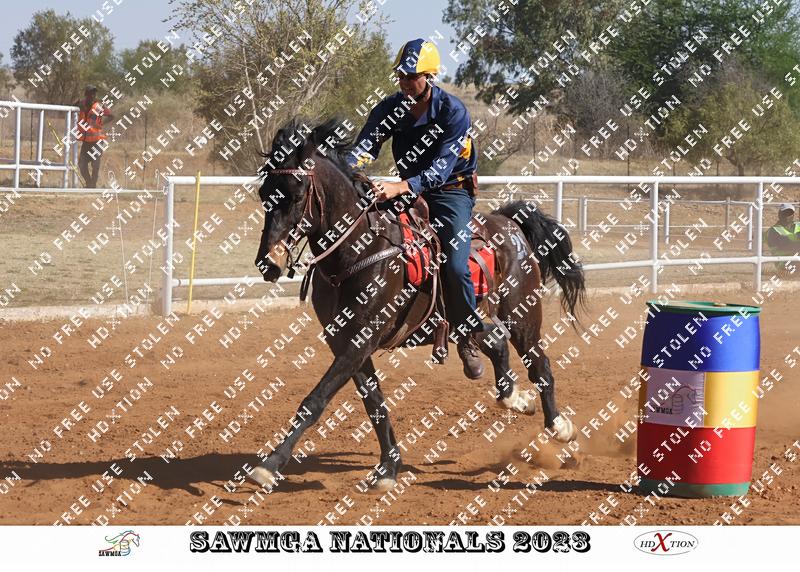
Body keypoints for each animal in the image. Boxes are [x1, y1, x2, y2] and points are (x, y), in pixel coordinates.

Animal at [251, 117, 586, 491]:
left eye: (296, 195)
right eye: (264, 194)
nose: (268, 262)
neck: (361, 249)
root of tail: (509, 222)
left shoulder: (360, 340)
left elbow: (316, 399)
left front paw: (270, 464)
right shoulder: (345, 342)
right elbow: (375, 404)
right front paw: (388, 468)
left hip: (523, 317)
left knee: (539, 365)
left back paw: (559, 426)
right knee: (494, 341)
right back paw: (511, 395)